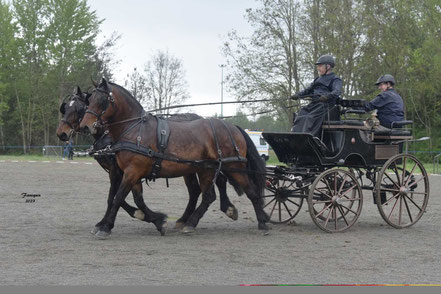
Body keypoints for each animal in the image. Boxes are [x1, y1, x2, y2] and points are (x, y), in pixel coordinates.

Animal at [79, 78, 268, 239]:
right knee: (208, 195)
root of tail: (233, 127)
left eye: (102, 100)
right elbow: (135, 200)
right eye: (89, 100)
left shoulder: (132, 172)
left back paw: (262, 223)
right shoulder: (129, 173)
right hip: (206, 169)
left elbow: (118, 197)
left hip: (233, 167)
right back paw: (191, 223)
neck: (134, 129)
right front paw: (158, 220)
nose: (85, 126)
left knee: (250, 191)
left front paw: (106, 227)